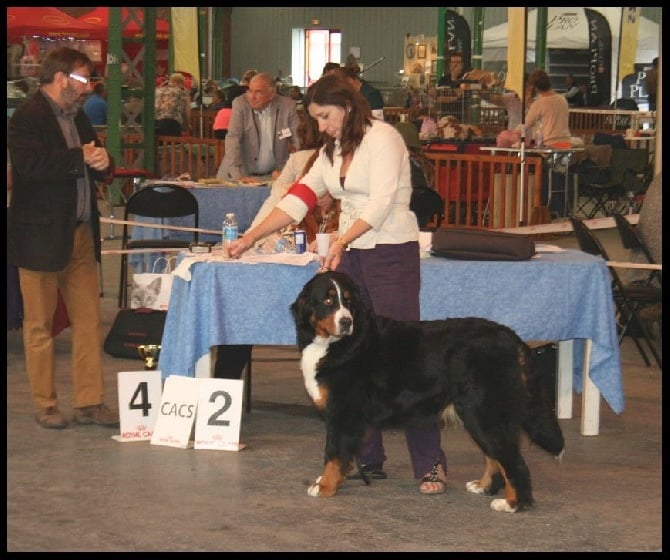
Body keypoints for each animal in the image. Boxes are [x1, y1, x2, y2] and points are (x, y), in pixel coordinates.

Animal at [290, 270, 568, 512]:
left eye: (347, 302)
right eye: (327, 300)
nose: (346, 321)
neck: (338, 344)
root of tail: (511, 337)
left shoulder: (343, 413)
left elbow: (333, 454)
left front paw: (324, 486)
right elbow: (342, 455)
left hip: (483, 410)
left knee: (513, 461)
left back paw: (513, 504)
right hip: (480, 414)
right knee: (496, 456)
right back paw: (484, 487)